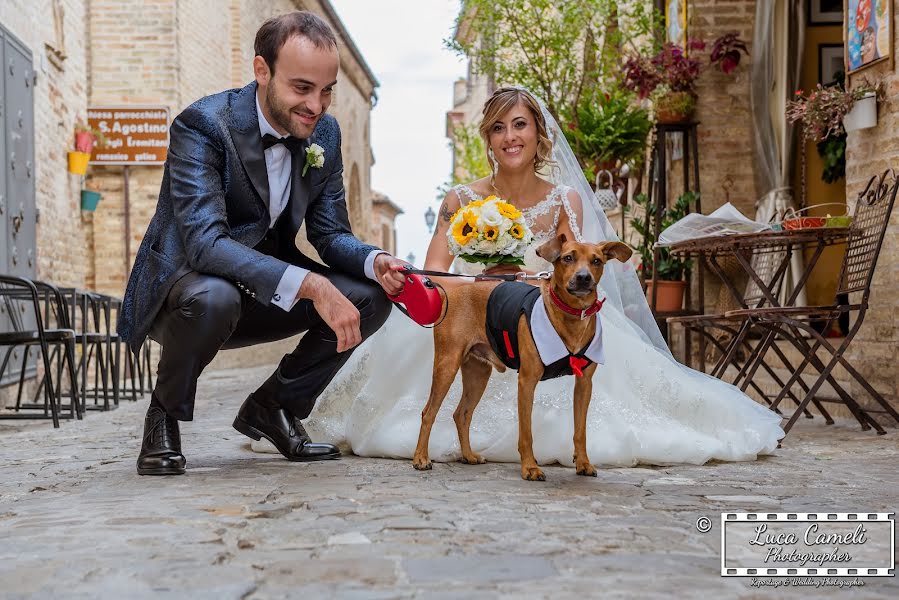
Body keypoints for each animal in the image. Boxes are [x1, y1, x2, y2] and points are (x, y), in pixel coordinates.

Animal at [412, 237, 628, 480]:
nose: (583, 277)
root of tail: (453, 293)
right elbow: (526, 432)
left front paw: (583, 463)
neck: (570, 316)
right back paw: (421, 458)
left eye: (597, 261)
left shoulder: (584, 385)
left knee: (462, 414)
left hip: (478, 374)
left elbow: (580, 431)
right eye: (568, 258)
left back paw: (467, 455)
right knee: (428, 412)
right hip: (447, 365)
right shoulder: (527, 382)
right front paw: (530, 467)